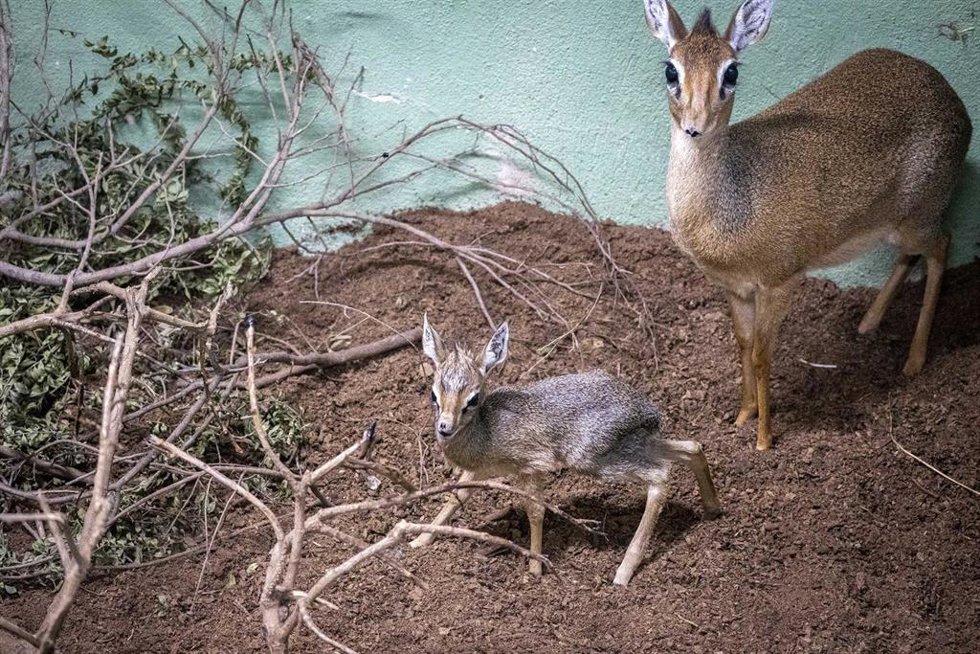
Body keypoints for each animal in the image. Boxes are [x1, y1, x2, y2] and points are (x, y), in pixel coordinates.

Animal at [408, 315, 721, 586]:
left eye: (472, 399)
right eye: (433, 394)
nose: (445, 427)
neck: (486, 430)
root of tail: (649, 411)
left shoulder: (532, 466)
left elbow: (535, 511)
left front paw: (534, 568)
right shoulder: (481, 470)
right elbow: (455, 497)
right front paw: (418, 540)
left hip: (595, 460)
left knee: (660, 476)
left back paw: (623, 572)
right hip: (635, 444)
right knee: (690, 447)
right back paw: (713, 509)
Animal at [643, 0, 972, 449]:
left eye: (731, 71)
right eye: (671, 70)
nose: (695, 124)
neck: (727, 207)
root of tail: (956, 102)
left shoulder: (781, 280)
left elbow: (762, 355)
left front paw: (764, 438)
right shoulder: (735, 287)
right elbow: (742, 344)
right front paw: (742, 416)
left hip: (920, 215)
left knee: (942, 245)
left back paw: (914, 359)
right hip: (892, 224)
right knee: (912, 255)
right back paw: (868, 323)